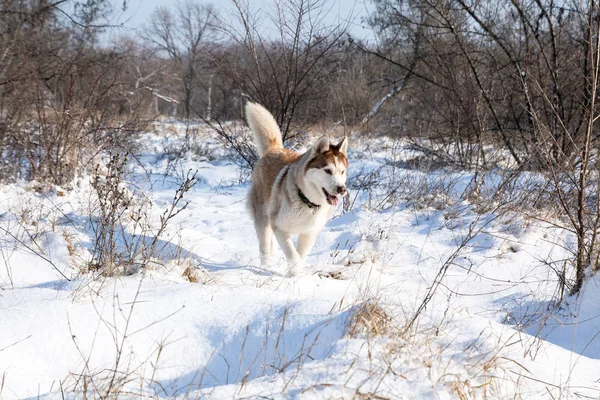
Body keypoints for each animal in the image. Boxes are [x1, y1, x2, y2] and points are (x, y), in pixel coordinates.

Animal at [246, 102, 350, 276]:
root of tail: (274, 150)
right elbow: (293, 255)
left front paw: (294, 274)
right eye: (328, 171)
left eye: (342, 171)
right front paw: (294, 272)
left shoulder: (309, 234)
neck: (306, 201)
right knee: (264, 245)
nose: (341, 189)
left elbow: (300, 255)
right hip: (263, 218)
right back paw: (266, 266)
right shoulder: (279, 227)